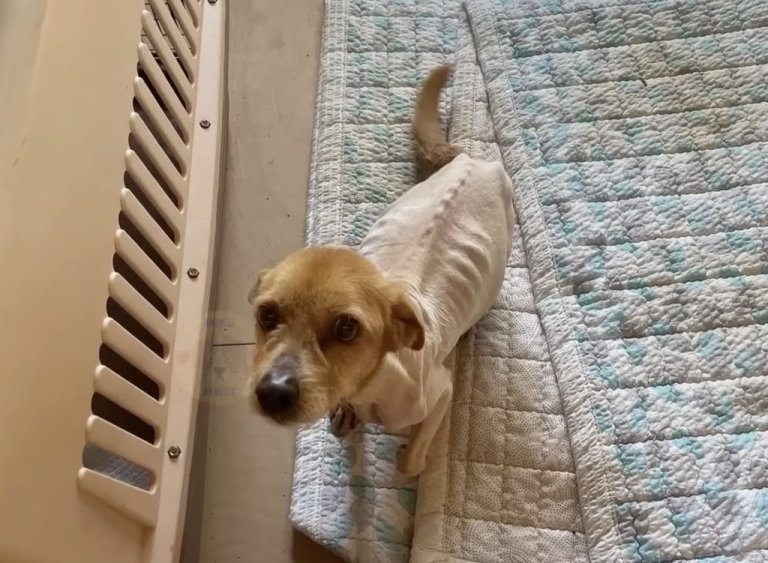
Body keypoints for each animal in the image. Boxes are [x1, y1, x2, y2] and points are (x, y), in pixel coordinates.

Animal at [248, 66, 514, 476]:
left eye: (346, 328)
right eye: (266, 314)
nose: (273, 392)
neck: (369, 386)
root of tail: (469, 158)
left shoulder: (441, 391)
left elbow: (408, 462)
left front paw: (413, 460)